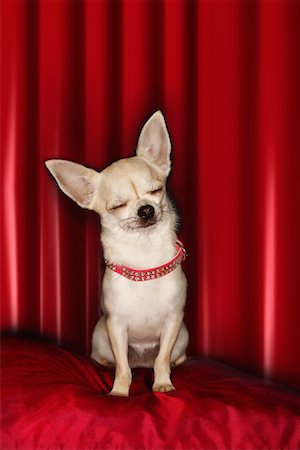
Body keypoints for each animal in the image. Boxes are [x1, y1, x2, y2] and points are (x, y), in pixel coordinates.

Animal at [46, 112, 189, 398]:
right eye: (117, 206)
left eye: (156, 190)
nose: (146, 210)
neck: (145, 255)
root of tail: (142, 362)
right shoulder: (116, 326)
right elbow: (124, 366)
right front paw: (120, 392)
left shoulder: (173, 322)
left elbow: (162, 358)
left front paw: (162, 384)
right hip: (100, 334)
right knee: (114, 359)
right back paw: (108, 364)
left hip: (183, 336)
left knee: (167, 357)